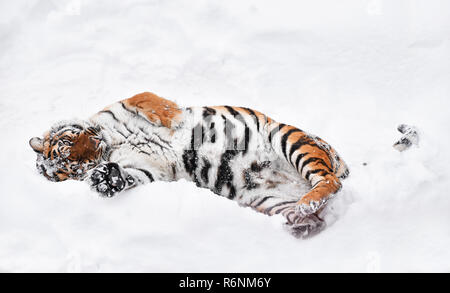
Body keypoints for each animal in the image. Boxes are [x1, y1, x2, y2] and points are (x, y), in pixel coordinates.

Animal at [29, 91, 350, 237]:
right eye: (72, 169)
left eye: (67, 145)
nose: (93, 155)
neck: (111, 145)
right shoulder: (145, 168)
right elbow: (129, 177)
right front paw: (106, 180)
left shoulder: (125, 105)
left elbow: (147, 100)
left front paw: (172, 118)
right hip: (270, 201)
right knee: (321, 205)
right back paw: (302, 221)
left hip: (289, 138)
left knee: (330, 180)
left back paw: (307, 204)